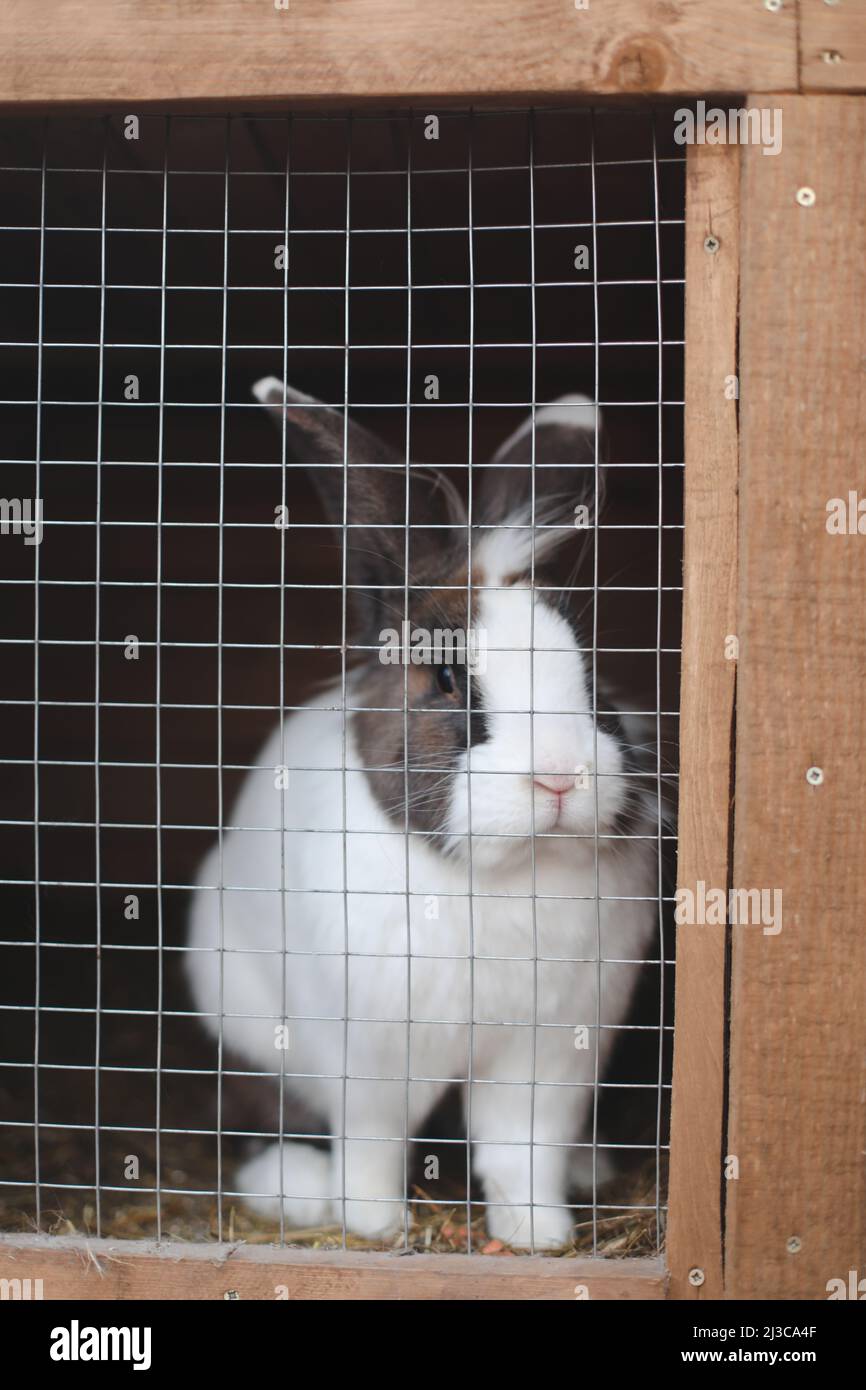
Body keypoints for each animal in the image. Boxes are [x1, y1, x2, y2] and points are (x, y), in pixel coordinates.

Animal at [183, 378, 656, 1251]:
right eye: (445, 679)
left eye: (591, 674)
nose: (559, 776)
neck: (505, 872)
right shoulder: (369, 1058)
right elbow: (372, 1143)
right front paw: (373, 1224)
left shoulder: (549, 1060)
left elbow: (522, 1151)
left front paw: (541, 1234)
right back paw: (297, 1190)